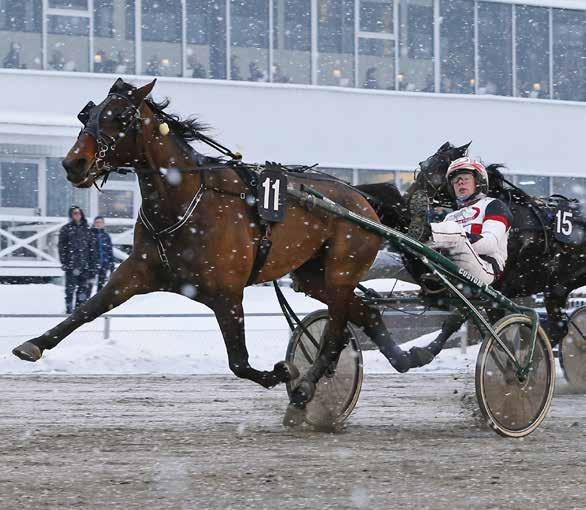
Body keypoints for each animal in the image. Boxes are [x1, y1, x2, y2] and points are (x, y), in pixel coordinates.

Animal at [12, 77, 420, 416]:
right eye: (89, 113)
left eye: (120, 117)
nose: (73, 163)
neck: (185, 200)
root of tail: (361, 198)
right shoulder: (136, 272)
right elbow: (87, 309)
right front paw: (33, 344)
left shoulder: (227, 293)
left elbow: (238, 362)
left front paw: (281, 372)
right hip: (312, 276)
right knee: (363, 311)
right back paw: (405, 358)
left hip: (340, 269)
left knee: (336, 326)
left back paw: (307, 385)